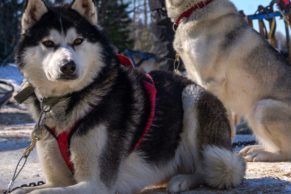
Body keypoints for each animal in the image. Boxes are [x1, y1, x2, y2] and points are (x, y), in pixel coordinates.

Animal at [13, 0, 246, 193]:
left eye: (78, 41)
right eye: (48, 43)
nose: (67, 66)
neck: (69, 100)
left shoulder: (96, 183)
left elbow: (40, 192)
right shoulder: (57, 179)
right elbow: (22, 189)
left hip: (193, 98)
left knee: (212, 170)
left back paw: (183, 180)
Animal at [167, 0, 291, 162]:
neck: (195, 9)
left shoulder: (212, 82)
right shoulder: (194, 78)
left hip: (262, 107)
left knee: (286, 151)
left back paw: (262, 154)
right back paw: (254, 149)